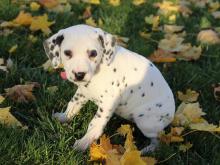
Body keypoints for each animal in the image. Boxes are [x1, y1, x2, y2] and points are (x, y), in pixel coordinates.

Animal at [43, 24, 175, 155]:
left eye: (93, 53)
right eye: (67, 53)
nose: (79, 74)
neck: (99, 69)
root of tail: (171, 115)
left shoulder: (107, 103)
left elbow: (95, 124)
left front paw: (84, 142)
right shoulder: (82, 92)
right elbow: (73, 105)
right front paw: (64, 117)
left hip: (146, 122)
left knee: (159, 140)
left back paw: (146, 150)